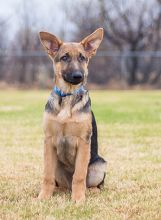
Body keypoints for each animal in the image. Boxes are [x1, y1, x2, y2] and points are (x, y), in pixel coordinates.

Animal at [38, 27, 107, 203]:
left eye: (82, 58)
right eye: (64, 57)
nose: (78, 76)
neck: (67, 96)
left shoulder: (83, 142)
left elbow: (79, 176)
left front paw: (78, 199)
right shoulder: (48, 141)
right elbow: (47, 176)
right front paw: (43, 197)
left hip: (99, 165)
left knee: (94, 184)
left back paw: (89, 191)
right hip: (57, 166)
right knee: (59, 182)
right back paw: (60, 190)